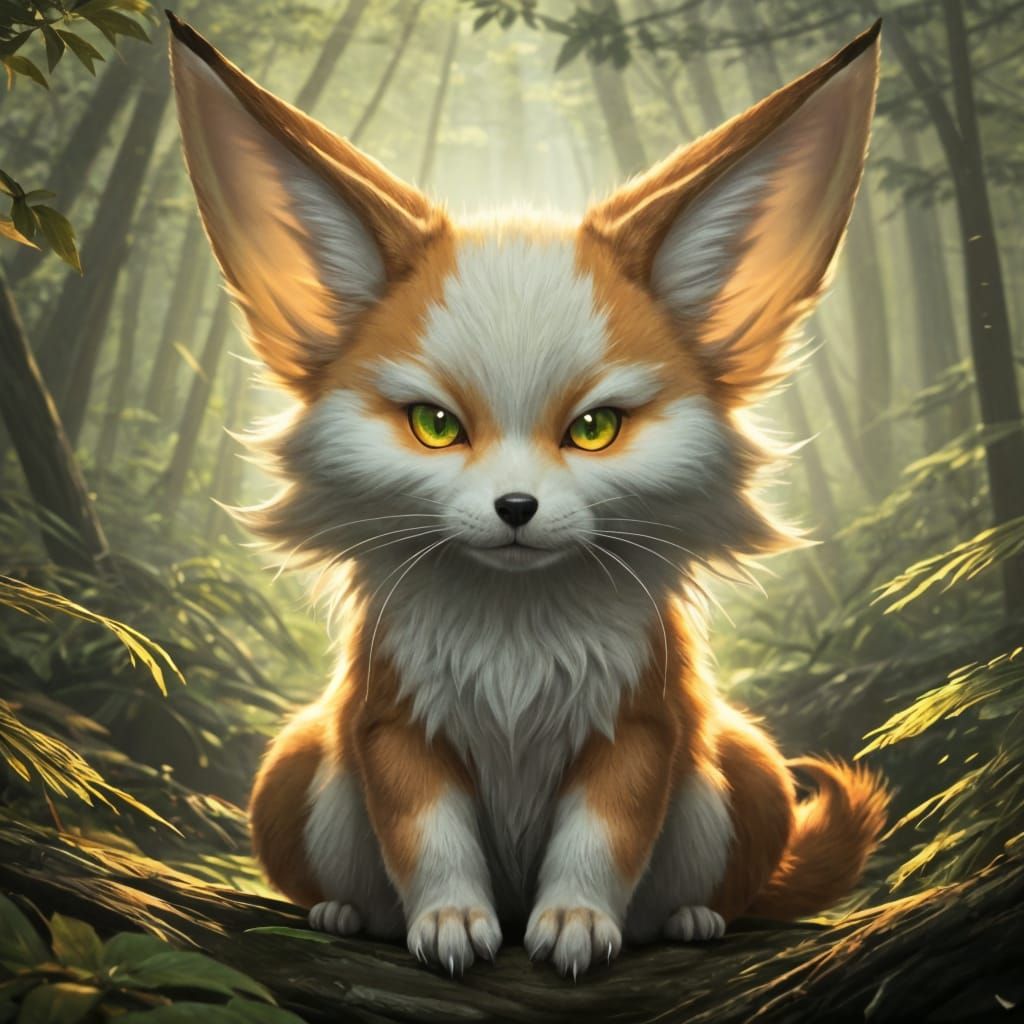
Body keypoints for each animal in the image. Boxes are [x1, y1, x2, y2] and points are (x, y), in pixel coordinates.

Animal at [167, 12, 890, 977]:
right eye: (436, 425)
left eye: (595, 429)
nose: (516, 509)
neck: (515, 642)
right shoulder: (393, 723)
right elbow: (428, 837)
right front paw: (449, 920)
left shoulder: (642, 725)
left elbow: (602, 838)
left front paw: (577, 921)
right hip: (290, 762)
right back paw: (343, 914)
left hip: (748, 767)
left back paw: (693, 918)